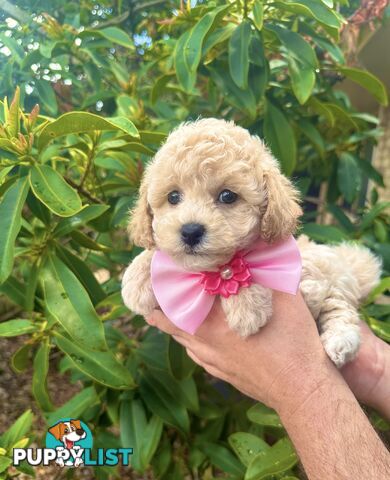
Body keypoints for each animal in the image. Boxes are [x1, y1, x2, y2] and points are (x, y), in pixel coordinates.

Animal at [120, 118, 380, 366]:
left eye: (227, 196)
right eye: (173, 196)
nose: (191, 231)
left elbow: (244, 268)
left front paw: (247, 307)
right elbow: (155, 252)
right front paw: (137, 280)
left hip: (332, 280)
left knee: (339, 309)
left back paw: (341, 343)